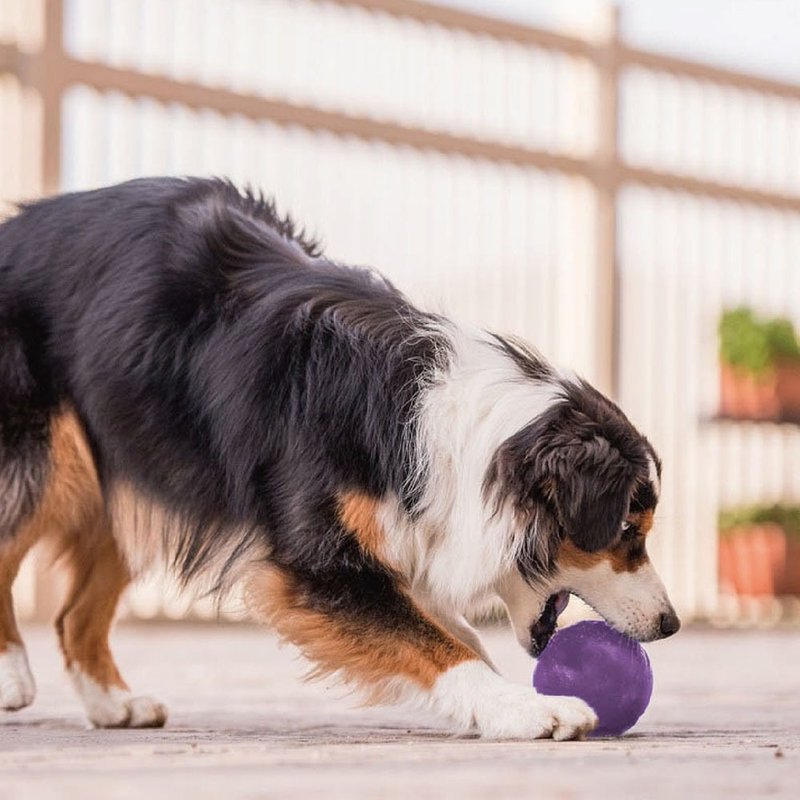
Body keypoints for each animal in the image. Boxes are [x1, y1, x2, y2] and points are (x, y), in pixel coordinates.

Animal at [0, 178, 680, 740]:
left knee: (73, 615)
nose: (671, 625)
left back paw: (113, 703)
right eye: (627, 530)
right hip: (43, 460)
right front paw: (524, 708)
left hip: (139, 469)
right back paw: (12, 675)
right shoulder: (314, 564)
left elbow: (437, 626)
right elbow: (432, 640)